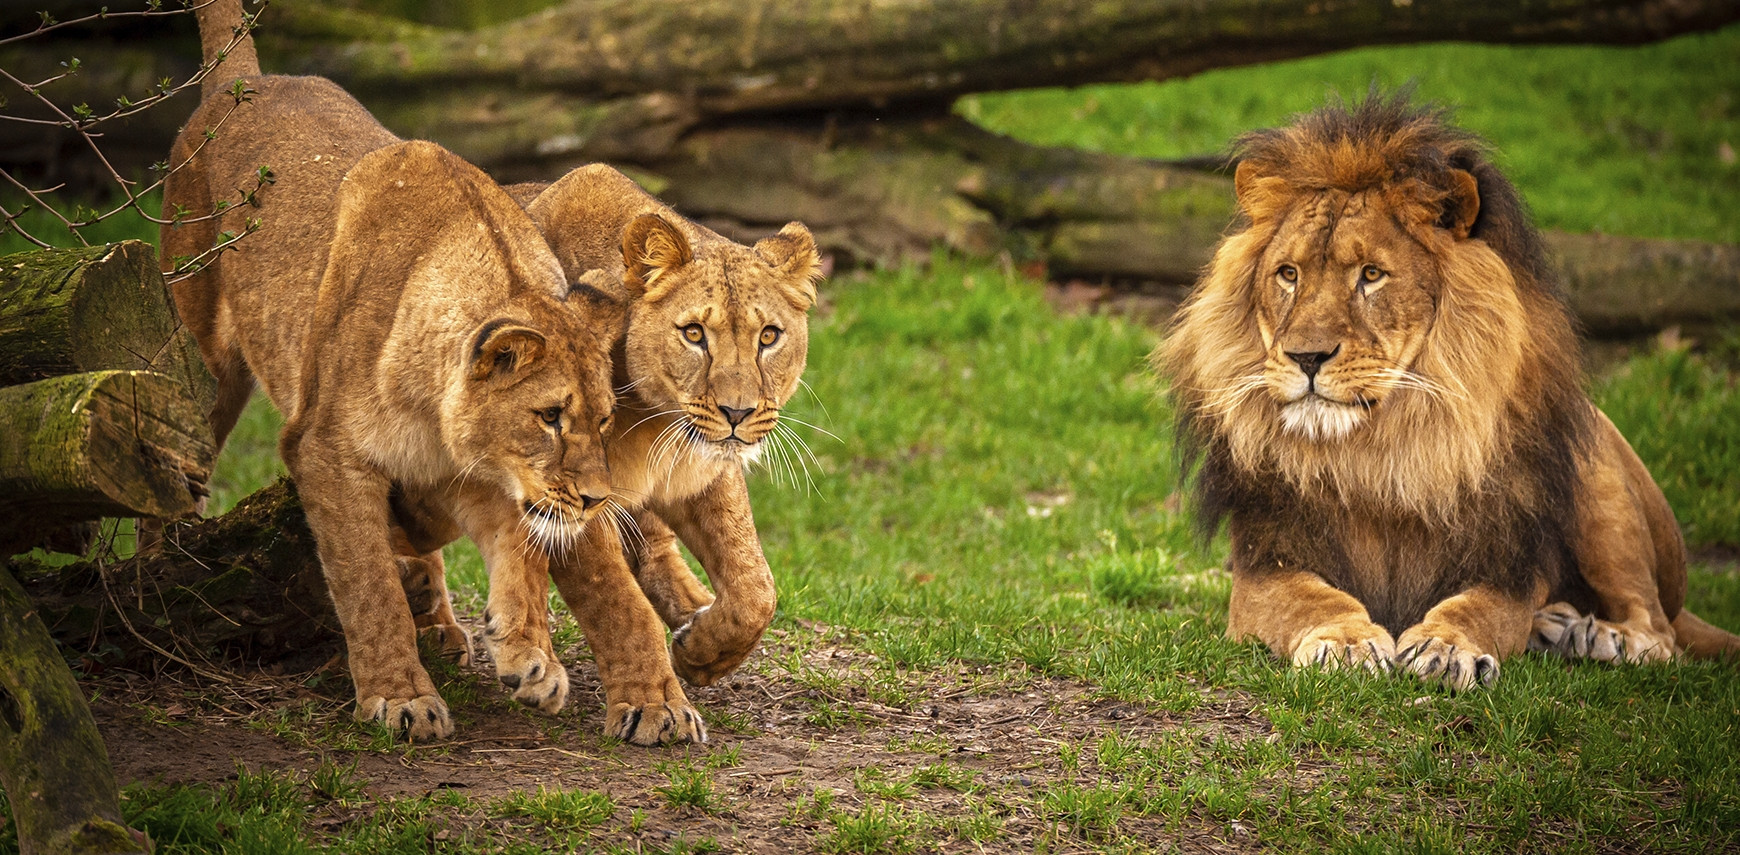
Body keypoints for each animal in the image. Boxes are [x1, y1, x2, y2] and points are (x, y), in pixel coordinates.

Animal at [163, 0, 633, 738]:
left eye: (606, 420)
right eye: (550, 417)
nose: (594, 500)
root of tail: (247, 82)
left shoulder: (468, 474)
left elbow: (520, 547)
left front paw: (529, 652)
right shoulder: (323, 449)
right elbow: (366, 582)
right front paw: (402, 697)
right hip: (203, 356)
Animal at [1155, 93, 1740, 693]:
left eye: (1371, 274)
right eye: (1288, 274)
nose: (1307, 357)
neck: (1374, 454)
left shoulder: (1507, 567)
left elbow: (1474, 609)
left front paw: (1445, 646)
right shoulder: (1265, 564)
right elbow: (1313, 601)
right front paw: (1346, 643)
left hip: (1599, 476)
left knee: (1660, 631)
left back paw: (1593, 636)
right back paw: (1556, 628)